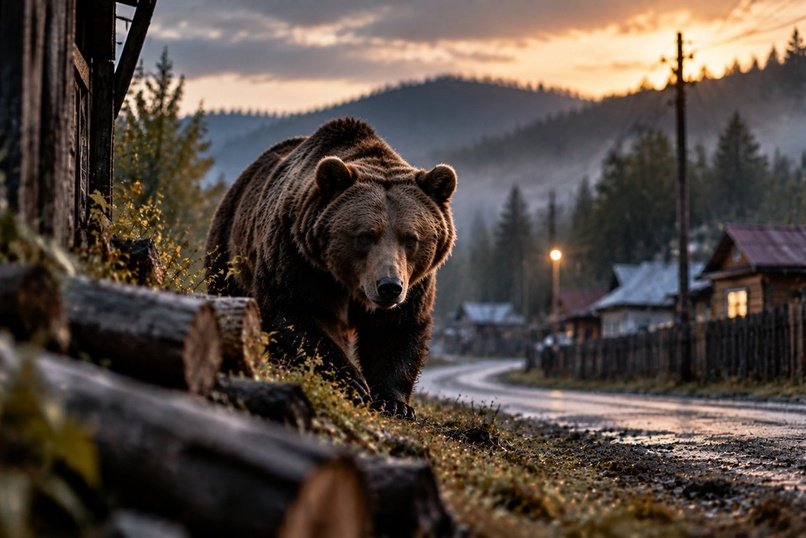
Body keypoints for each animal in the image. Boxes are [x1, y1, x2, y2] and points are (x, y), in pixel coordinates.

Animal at [205, 118, 457, 418]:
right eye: (365, 235)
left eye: (410, 238)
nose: (389, 287)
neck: (349, 284)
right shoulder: (299, 258)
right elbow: (295, 313)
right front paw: (353, 382)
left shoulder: (416, 282)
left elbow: (398, 329)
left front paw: (394, 402)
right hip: (229, 245)